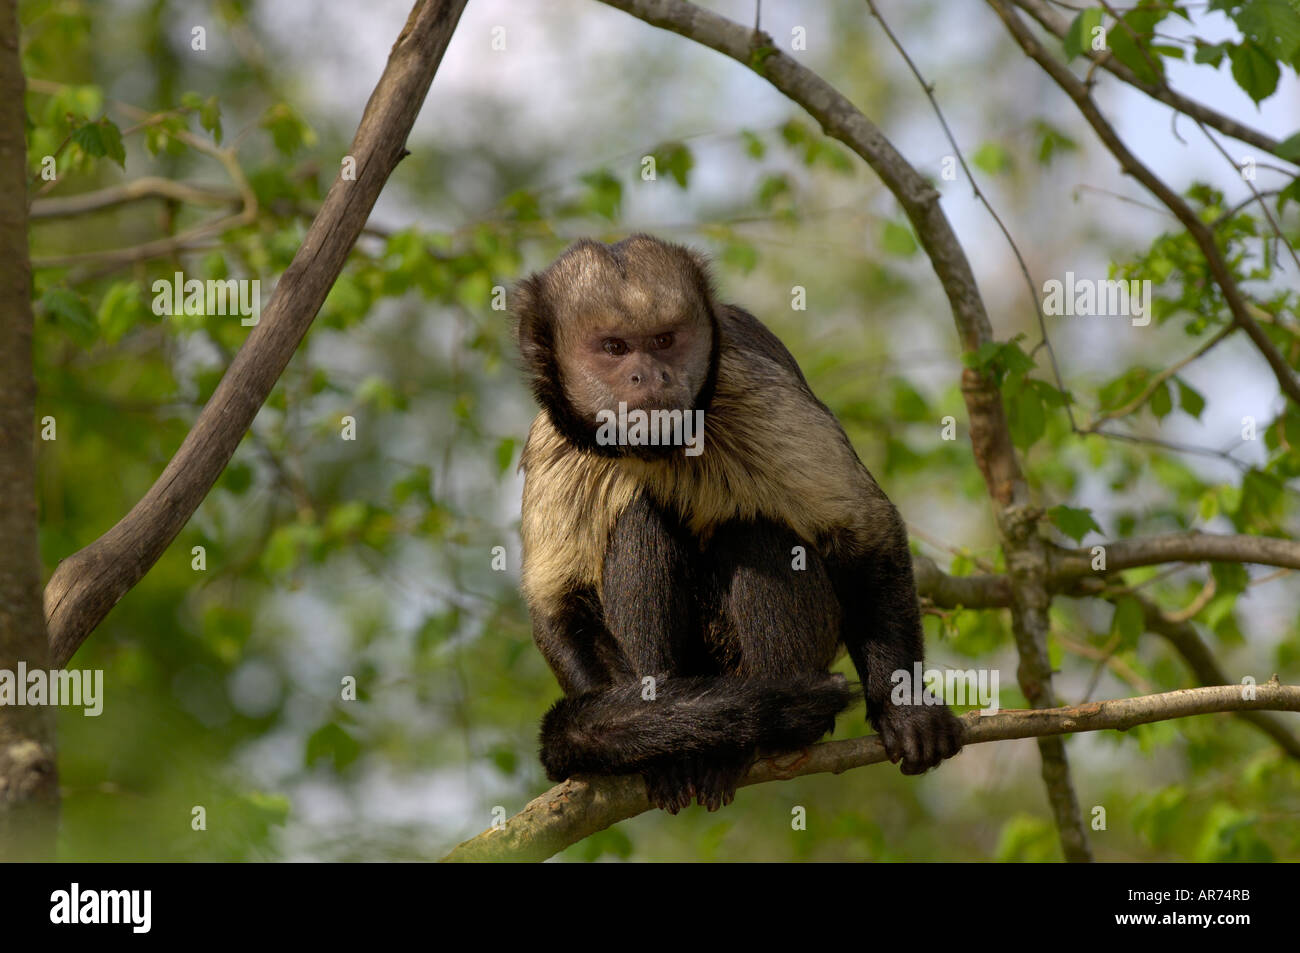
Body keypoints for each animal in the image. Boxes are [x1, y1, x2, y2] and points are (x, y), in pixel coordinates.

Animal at [512, 232, 961, 811]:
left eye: (664, 341)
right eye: (614, 348)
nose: (649, 375)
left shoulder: (749, 390)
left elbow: (864, 530)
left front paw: (904, 706)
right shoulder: (554, 443)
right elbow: (556, 604)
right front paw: (636, 738)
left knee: (757, 534)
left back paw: (759, 736)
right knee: (638, 521)